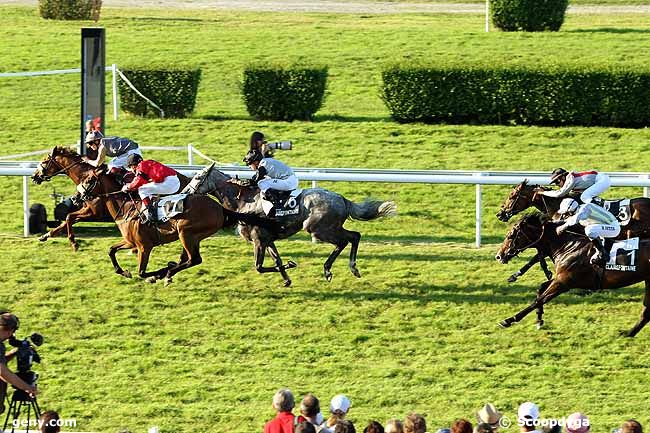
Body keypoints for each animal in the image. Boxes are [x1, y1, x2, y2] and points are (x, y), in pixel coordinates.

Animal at [31, 147, 189, 251]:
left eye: (44, 161)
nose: (34, 176)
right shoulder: (87, 209)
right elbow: (67, 219)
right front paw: (46, 235)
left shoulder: (94, 212)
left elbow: (69, 217)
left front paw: (74, 243)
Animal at [79, 170, 272, 286]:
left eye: (89, 180)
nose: (77, 197)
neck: (126, 208)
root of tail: (219, 207)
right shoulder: (130, 242)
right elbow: (111, 250)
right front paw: (123, 271)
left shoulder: (144, 246)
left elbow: (142, 272)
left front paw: (156, 274)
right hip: (193, 236)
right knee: (187, 259)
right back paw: (169, 271)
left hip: (185, 232)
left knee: (194, 259)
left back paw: (167, 273)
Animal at [180, 164, 398, 286]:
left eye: (198, 177)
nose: (185, 192)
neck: (244, 201)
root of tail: (342, 199)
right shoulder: (268, 240)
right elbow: (276, 260)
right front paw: (286, 279)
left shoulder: (258, 240)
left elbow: (259, 267)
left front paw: (290, 266)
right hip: (330, 227)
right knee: (354, 236)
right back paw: (349, 268)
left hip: (318, 229)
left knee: (346, 240)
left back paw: (331, 269)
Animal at [494, 213, 648, 338]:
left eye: (511, 235)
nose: (499, 256)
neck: (567, 247)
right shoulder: (561, 279)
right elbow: (540, 289)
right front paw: (539, 319)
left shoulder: (563, 283)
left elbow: (538, 300)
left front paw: (509, 320)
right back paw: (629, 333)